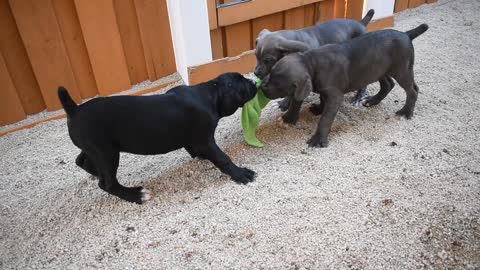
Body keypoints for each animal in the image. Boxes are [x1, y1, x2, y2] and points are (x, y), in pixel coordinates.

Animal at [60, 71, 258, 202]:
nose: (254, 83)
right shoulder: (206, 140)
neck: (211, 91)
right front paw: (240, 173)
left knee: (81, 161)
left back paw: (95, 172)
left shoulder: (196, 140)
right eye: (243, 83)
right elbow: (223, 159)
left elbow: (193, 147)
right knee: (107, 184)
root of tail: (74, 110)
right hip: (106, 152)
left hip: (95, 149)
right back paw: (136, 195)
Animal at [260, 24, 430, 148]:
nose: (262, 87)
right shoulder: (325, 90)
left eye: (277, 83)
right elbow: (320, 100)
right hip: (379, 68)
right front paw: (314, 110)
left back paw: (406, 112)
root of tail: (406, 34)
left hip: (401, 70)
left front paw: (319, 139)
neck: (312, 63)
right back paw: (372, 101)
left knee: (412, 90)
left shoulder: (335, 96)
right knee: (388, 84)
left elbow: (326, 118)